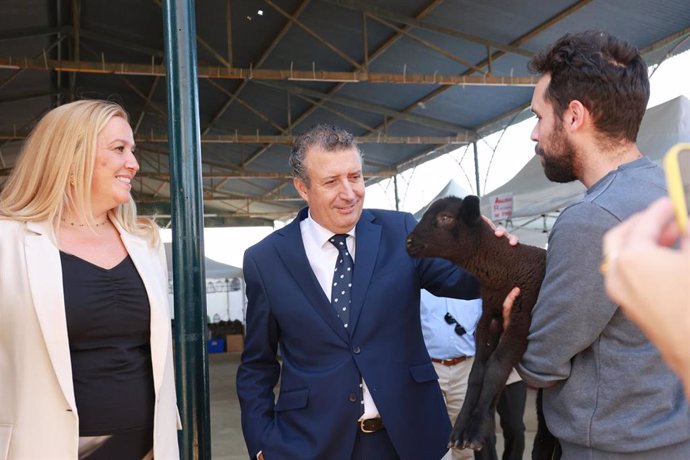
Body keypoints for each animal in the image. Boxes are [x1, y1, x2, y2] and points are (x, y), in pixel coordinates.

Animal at [404, 195, 560, 460]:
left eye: (445, 218)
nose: (408, 242)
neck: (502, 271)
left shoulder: (521, 318)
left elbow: (496, 367)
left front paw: (475, 430)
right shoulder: (489, 318)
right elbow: (477, 372)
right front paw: (460, 431)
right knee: (546, 435)